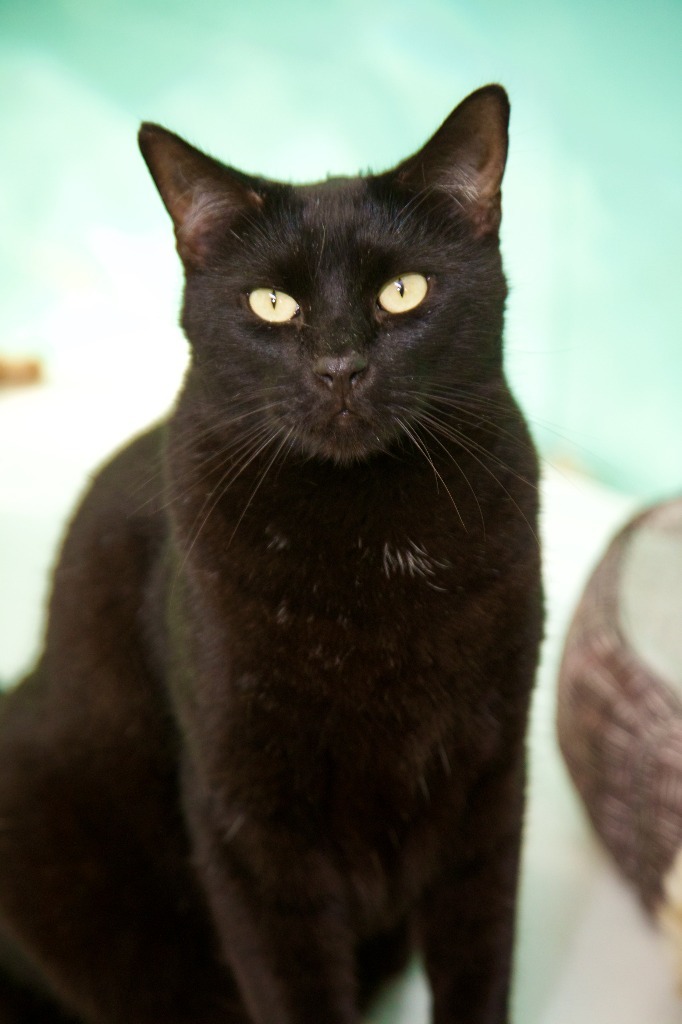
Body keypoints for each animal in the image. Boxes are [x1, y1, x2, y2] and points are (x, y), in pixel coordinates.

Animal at [0, 83, 540, 1019]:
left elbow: (480, 958)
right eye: (273, 305)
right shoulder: (252, 821)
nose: (339, 367)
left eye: (403, 291)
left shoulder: (490, 779)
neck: (371, 538)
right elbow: (293, 986)